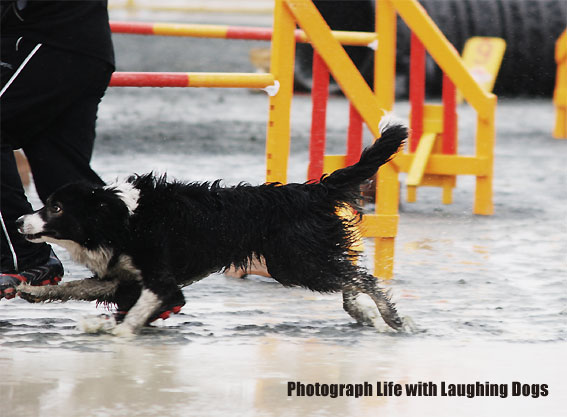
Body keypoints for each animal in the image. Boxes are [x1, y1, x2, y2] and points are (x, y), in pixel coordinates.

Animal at [16, 120, 408, 334]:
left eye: (56, 208)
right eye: (47, 202)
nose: (19, 220)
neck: (122, 217)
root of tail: (311, 190)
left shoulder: (164, 284)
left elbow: (134, 315)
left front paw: (115, 332)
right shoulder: (121, 278)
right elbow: (76, 287)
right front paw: (33, 292)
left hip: (294, 262)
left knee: (362, 277)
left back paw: (389, 317)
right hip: (302, 258)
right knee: (351, 275)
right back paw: (362, 312)